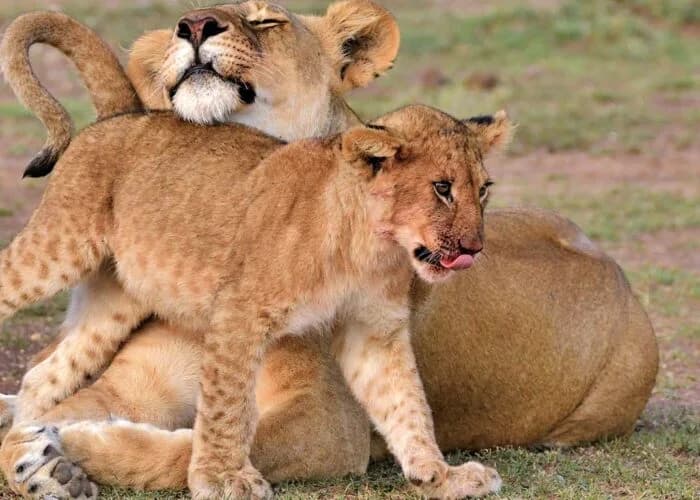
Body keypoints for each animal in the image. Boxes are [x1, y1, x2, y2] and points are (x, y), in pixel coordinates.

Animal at [0, 100, 514, 499]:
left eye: (483, 189)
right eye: (442, 188)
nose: (474, 249)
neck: (371, 245)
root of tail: (105, 123)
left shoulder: (374, 330)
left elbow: (406, 403)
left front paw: (441, 476)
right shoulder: (238, 311)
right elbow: (226, 409)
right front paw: (222, 478)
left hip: (113, 302)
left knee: (42, 376)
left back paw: (27, 438)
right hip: (56, 249)